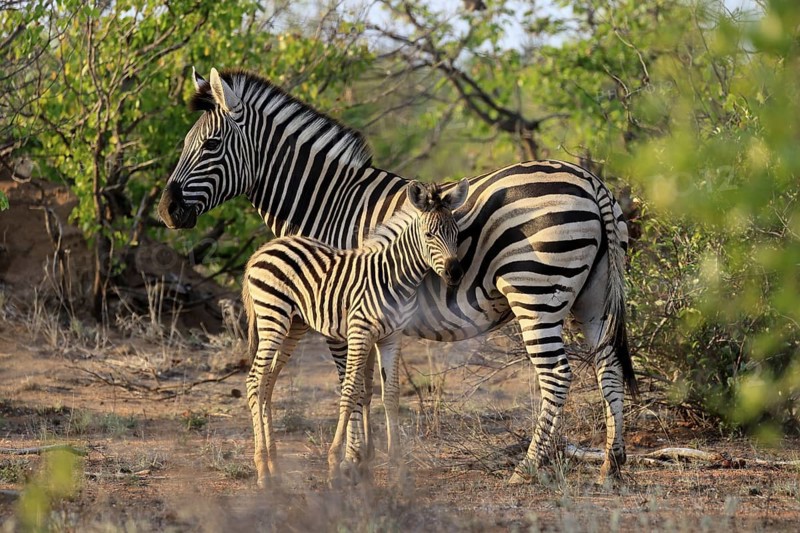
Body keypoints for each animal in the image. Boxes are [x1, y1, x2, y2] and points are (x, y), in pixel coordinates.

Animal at [242, 179, 468, 486]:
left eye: (457, 234)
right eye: (429, 234)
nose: (455, 273)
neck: (394, 277)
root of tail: (263, 248)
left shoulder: (391, 338)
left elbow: (391, 395)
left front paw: (398, 466)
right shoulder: (360, 332)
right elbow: (350, 391)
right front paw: (335, 463)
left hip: (294, 324)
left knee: (267, 382)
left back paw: (274, 465)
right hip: (272, 318)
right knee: (255, 380)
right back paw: (263, 471)